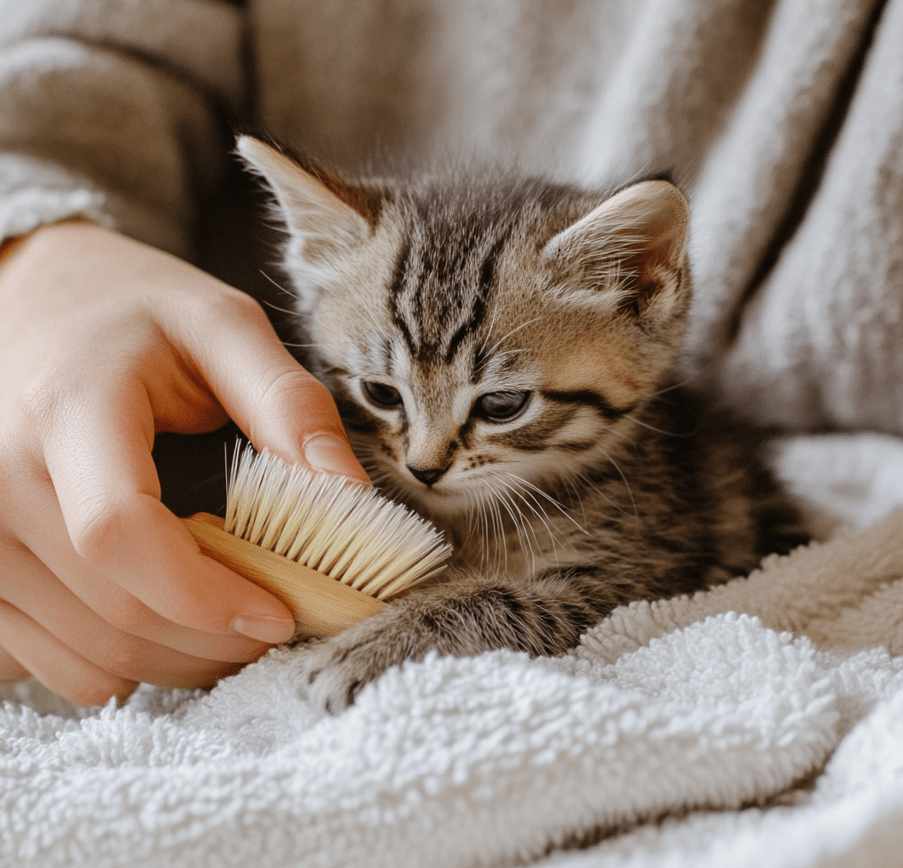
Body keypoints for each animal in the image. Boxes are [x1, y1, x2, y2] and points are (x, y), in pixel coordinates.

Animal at [237, 136, 808, 712]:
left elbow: (503, 601)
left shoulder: (634, 585)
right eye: (380, 393)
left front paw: (380, 641)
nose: (424, 470)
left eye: (503, 405)